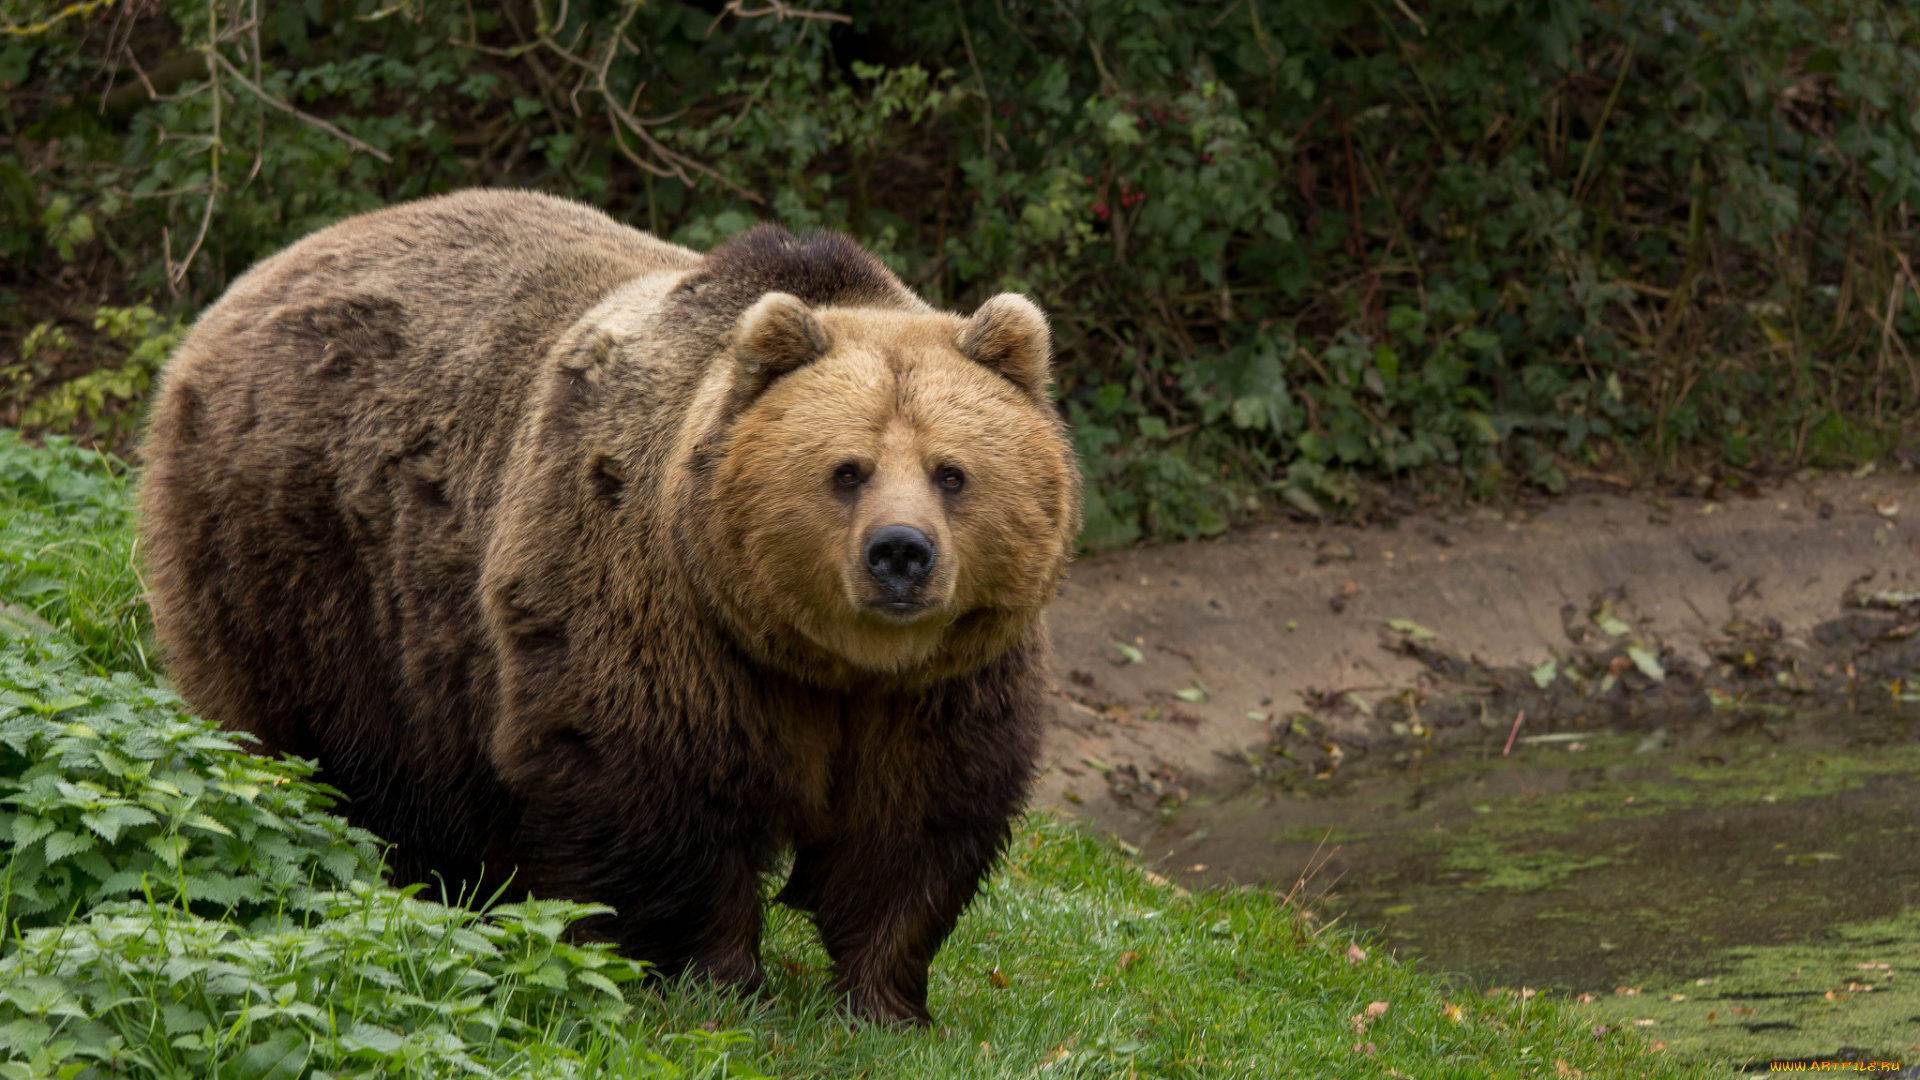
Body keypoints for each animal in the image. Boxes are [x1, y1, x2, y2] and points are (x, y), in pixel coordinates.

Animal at [139, 189, 1082, 1022]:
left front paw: (886, 1001)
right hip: (299, 563)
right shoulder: (652, 599)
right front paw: (718, 980)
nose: (900, 554)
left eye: (952, 472)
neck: (825, 661)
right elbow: (656, 783)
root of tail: (256, 279)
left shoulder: (946, 681)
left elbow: (915, 823)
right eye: (846, 470)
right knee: (324, 750)